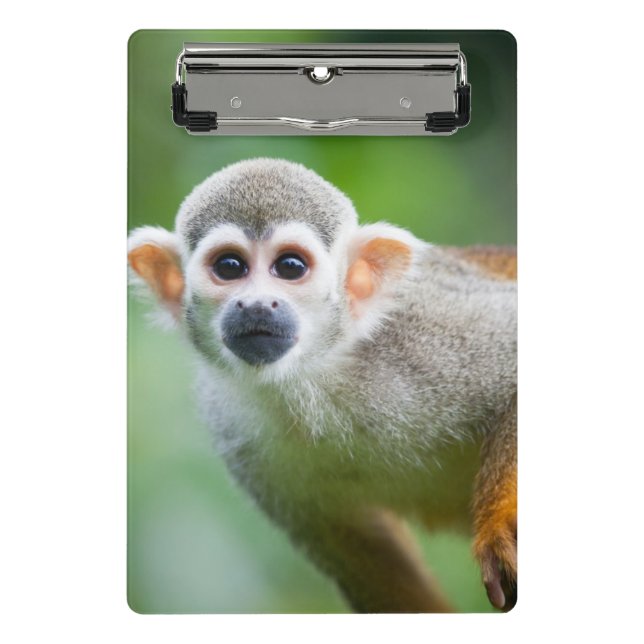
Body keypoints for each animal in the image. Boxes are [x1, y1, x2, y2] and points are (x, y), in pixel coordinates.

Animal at [128, 158, 517, 613]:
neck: (314, 376)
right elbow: (367, 555)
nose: (256, 305)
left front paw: (496, 533)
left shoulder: (427, 330)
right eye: (229, 267)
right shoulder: (233, 427)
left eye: (290, 267)